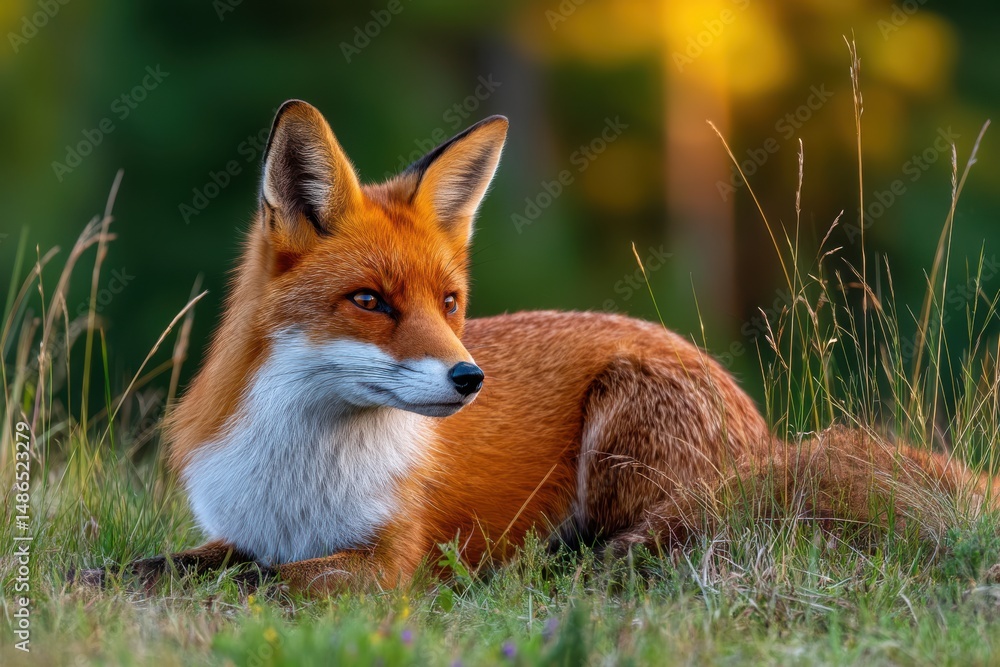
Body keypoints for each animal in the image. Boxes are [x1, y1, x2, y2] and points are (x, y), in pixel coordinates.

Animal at [76, 100, 992, 595]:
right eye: (370, 302)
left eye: (450, 302)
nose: (469, 376)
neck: (302, 470)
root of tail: (763, 430)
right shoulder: (241, 529)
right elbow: (172, 563)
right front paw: (98, 580)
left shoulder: (386, 561)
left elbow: (263, 580)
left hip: (628, 437)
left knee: (664, 544)